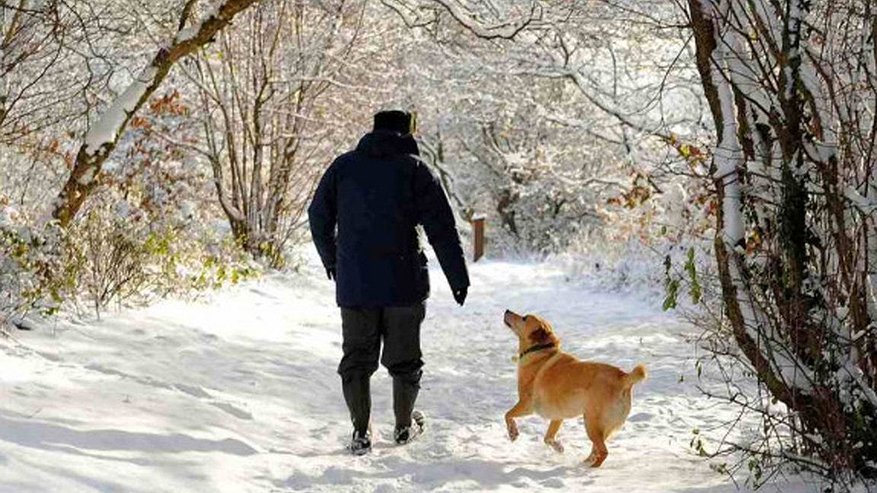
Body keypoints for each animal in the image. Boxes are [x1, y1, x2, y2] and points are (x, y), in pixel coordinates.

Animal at [500, 310, 644, 468]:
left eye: (525, 318)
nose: (507, 310)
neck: (541, 350)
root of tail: (623, 377)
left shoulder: (527, 405)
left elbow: (507, 415)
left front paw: (512, 432)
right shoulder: (557, 416)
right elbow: (548, 438)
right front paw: (559, 447)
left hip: (591, 424)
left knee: (603, 452)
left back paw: (590, 468)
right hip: (602, 427)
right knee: (596, 450)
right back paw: (585, 463)